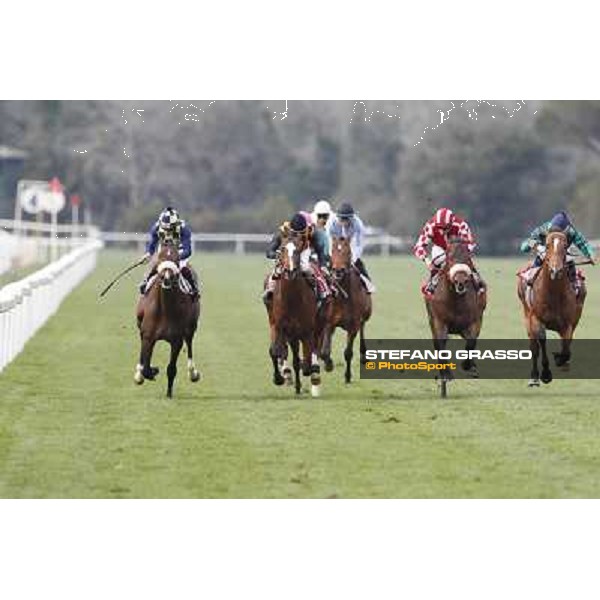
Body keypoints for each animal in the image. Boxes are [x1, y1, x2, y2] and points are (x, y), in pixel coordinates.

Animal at [134, 239, 202, 398]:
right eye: (160, 258)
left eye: (176, 258)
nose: (166, 278)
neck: (164, 310)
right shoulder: (148, 336)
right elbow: (146, 366)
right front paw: (150, 371)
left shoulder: (176, 340)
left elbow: (171, 369)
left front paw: (169, 393)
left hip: (191, 328)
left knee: (189, 344)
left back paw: (193, 373)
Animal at [268, 232, 324, 396]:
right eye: (282, 248)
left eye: (298, 250)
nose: (290, 271)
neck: (292, 299)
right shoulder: (279, 326)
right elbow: (274, 351)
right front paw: (278, 378)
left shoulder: (307, 330)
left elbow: (305, 360)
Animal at [318, 236, 370, 382]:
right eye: (333, 251)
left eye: (348, 252)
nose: (338, 270)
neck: (344, 297)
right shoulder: (329, 323)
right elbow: (324, 352)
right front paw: (328, 364)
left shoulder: (353, 326)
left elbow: (348, 353)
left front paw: (347, 376)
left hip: (364, 317)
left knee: (363, 329)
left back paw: (363, 355)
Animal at [426, 237, 488, 396]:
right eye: (450, 258)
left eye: (468, 258)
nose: (460, 281)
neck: (456, 300)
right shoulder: (439, 322)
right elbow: (441, 345)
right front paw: (446, 375)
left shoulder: (474, 321)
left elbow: (471, 342)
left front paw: (468, 365)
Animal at [516, 230, 588, 390]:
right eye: (547, 245)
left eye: (565, 245)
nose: (556, 270)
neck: (553, 294)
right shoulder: (536, 319)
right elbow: (541, 341)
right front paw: (546, 374)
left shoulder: (568, 323)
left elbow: (566, 345)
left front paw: (561, 360)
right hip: (527, 316)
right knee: (534, 346)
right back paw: (534, 377)